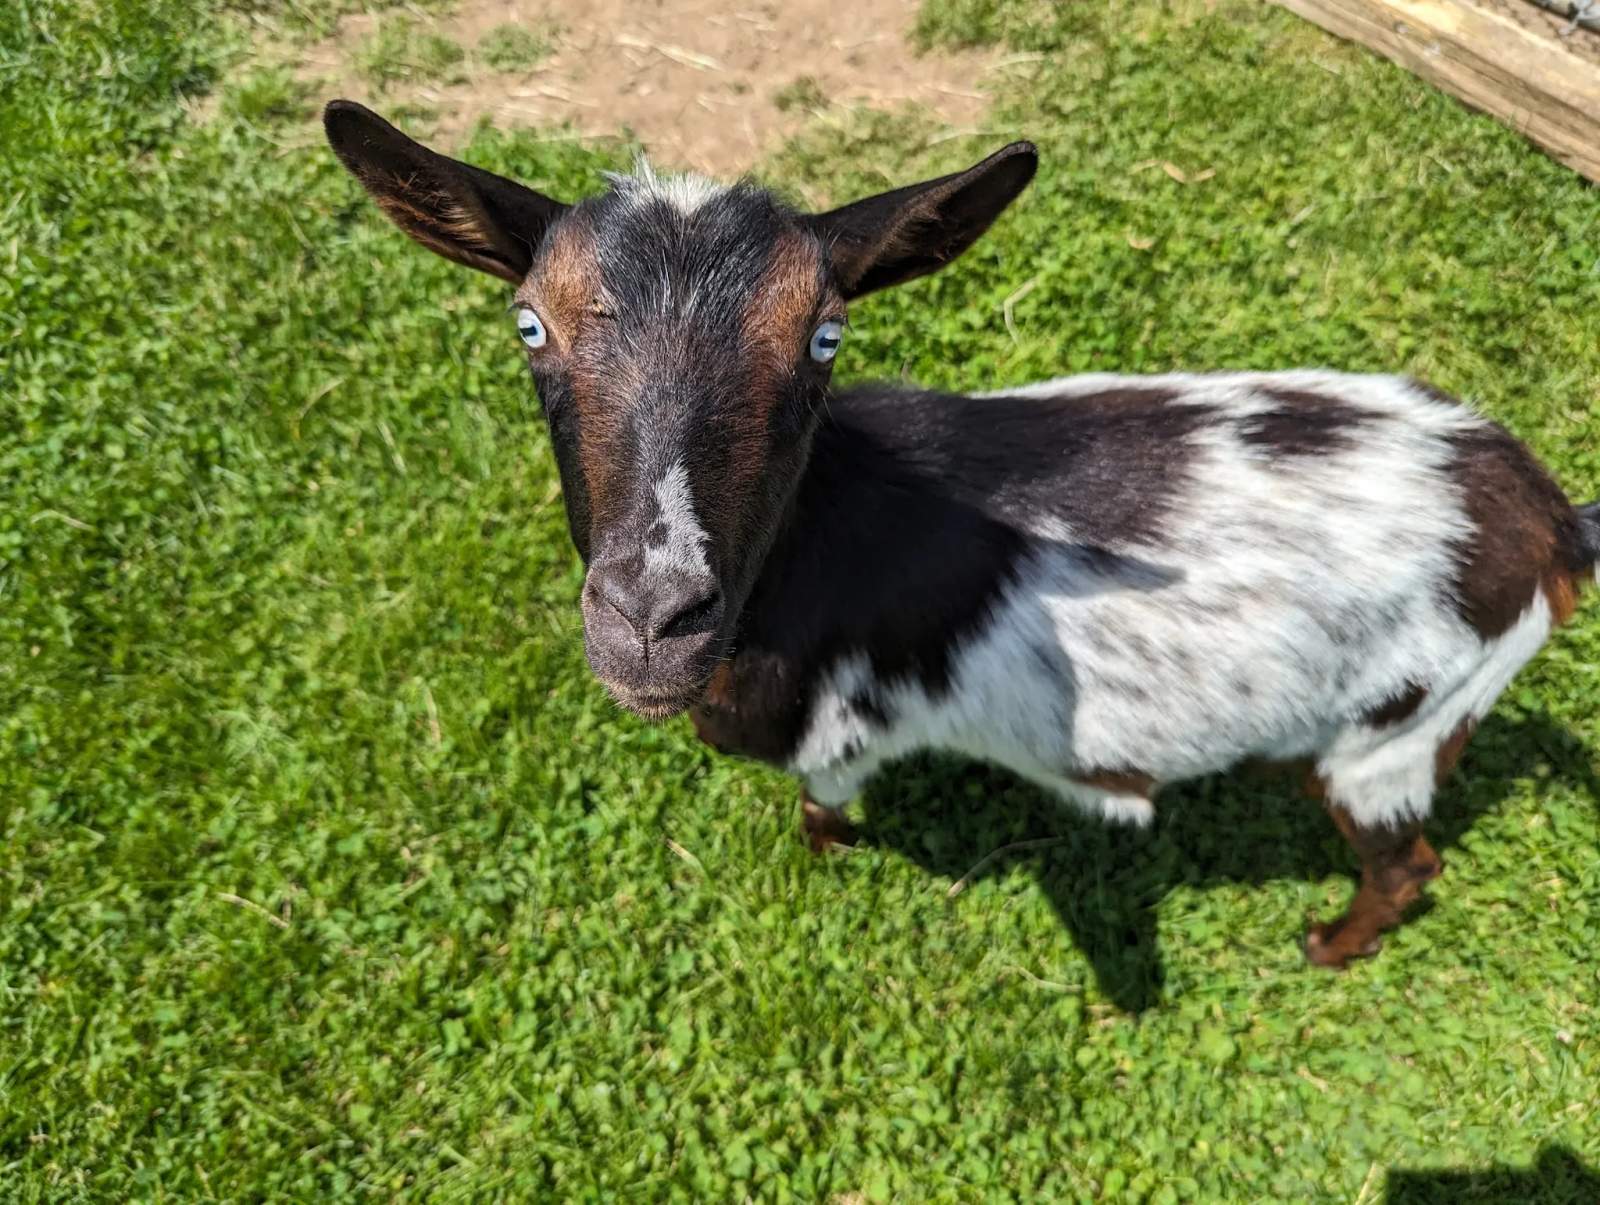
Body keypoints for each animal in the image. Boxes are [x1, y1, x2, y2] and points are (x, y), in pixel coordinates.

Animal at [324, 99, 1600, 972]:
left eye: (824, 336)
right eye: (528, 324)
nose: (650, 619)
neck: (807, 551)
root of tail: (1548, 518)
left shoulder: (840, 733)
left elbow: (821, 801)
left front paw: (825, 856)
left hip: (1393, 732)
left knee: (1409, 859)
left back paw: (1329, 942)